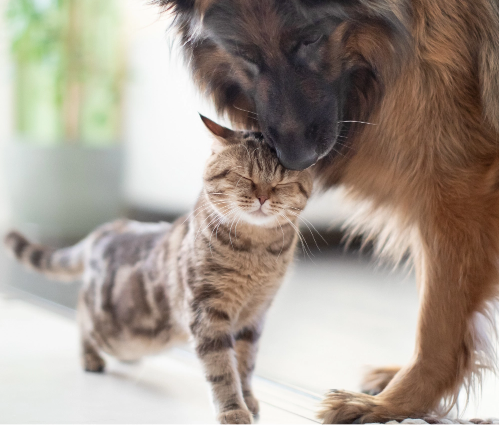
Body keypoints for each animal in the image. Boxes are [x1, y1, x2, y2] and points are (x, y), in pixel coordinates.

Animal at [4, 115, 312, 424]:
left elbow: (246, 365)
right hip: (108, 326)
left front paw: (248, 399)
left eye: (282, 183)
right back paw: (90, 357)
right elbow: (223, 369)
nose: (262, 197)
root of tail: (108, 228)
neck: (256, 251)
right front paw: (234, 409)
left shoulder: (254, 315)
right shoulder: (207, 312)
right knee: (81, 314)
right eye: (244, 177)